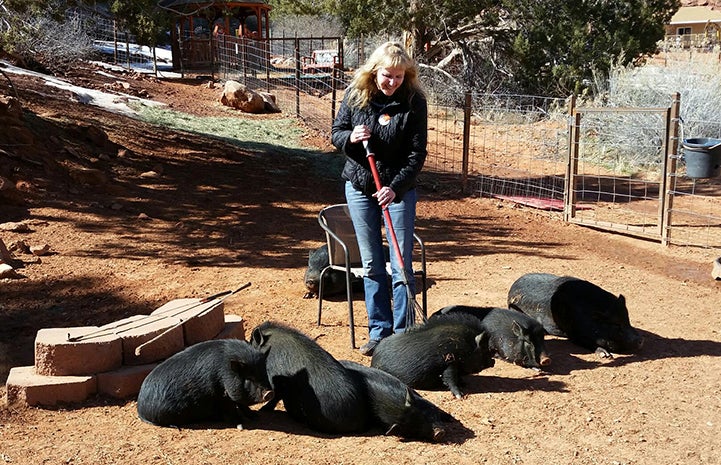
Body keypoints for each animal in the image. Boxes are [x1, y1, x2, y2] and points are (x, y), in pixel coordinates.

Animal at [135, 338, 272, 428]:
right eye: (249, 378)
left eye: (264, 372)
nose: (269, 393)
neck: (225, 372)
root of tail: (140, 409)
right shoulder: (222, 393)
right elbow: (231, 408)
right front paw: (240, 424)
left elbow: (242, 404)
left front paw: (255, 416)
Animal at [504, 272, 644, 356]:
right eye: (616, 324)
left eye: (628, 320)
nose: (640, 340)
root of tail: (513, 285)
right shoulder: (574, 334)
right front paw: (605, 355)